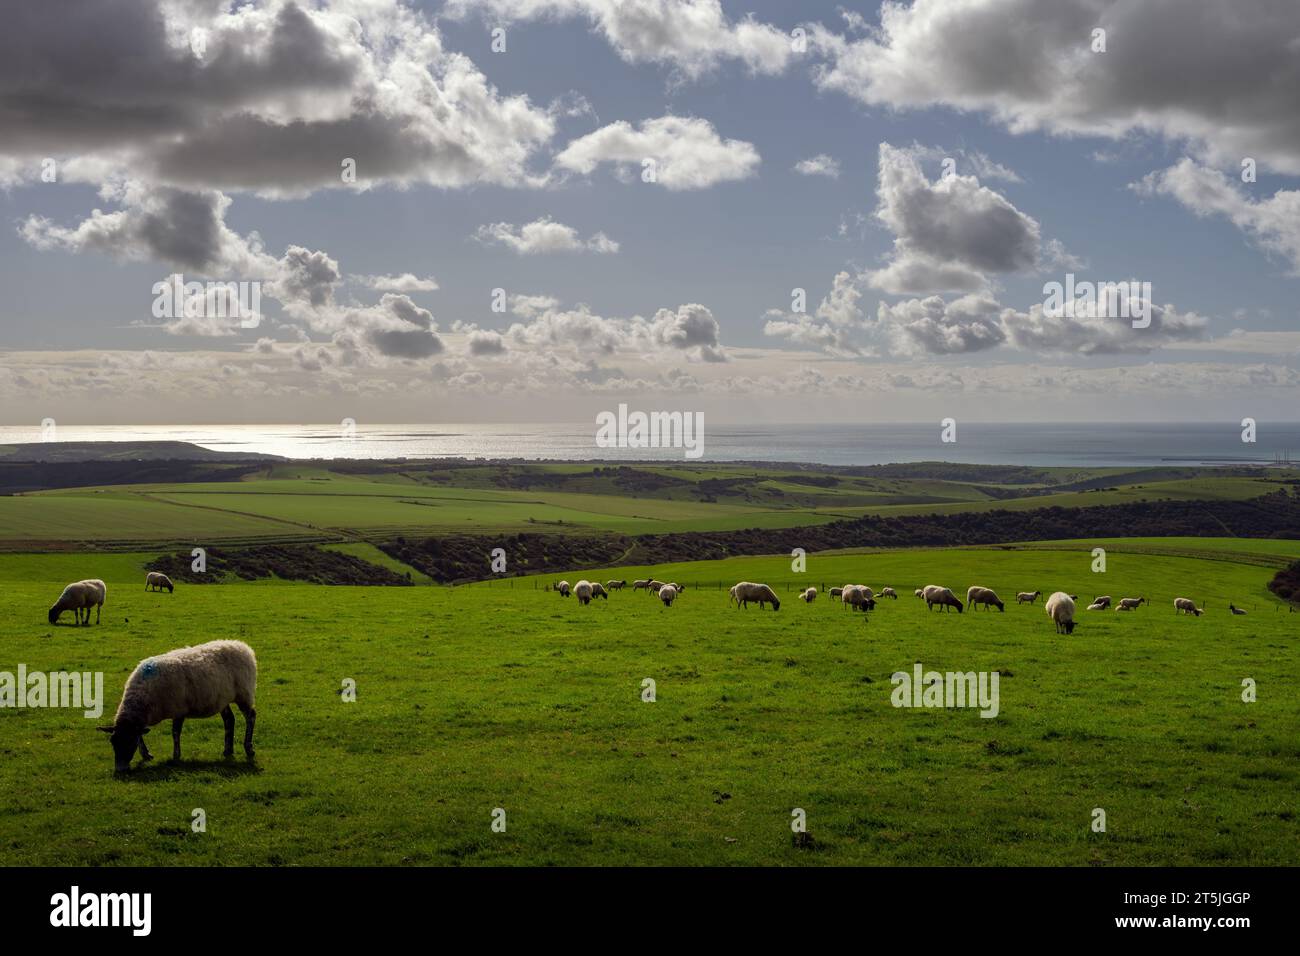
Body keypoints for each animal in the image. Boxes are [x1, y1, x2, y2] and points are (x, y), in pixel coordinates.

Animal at [100, 639, 257, 775]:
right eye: (113, 743)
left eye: (129, 743)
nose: (120, 770)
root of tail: (242, 646)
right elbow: (141, 736)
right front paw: (146, 755)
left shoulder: (179, 709)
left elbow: (175, 732)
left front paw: (176, 756)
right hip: (223, 699)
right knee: (229, 720)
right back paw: (228, 750)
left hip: (244, 693)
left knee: (251, 716)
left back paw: (249, 748)